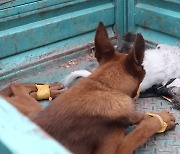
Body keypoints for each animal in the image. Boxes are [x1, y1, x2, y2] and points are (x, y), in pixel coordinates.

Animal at [0, 22, 176, 153]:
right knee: (15, 85)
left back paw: (52, 89)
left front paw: (157, 117)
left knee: (17, 87)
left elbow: (135, 115)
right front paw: (158, 121)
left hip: (33, 110)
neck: (104, 87)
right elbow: (142, 129)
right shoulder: (113, 151)